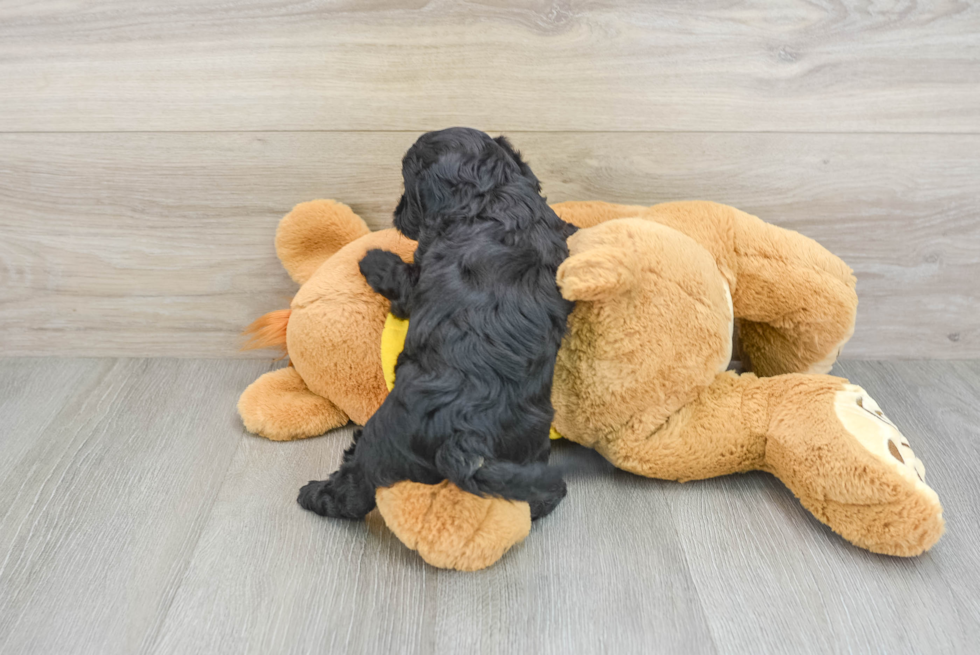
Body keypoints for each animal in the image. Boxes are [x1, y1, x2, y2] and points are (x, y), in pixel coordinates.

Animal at [296, 125, 576, 520]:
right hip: (526, 442)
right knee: (533, 491)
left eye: (407, 186)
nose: (396, 213)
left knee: (355, 487)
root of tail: (465, 438)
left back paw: (315, 494)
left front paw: (372, 258)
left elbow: (398, 277)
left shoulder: (415, 284)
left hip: (384, 437)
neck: (492, 195)